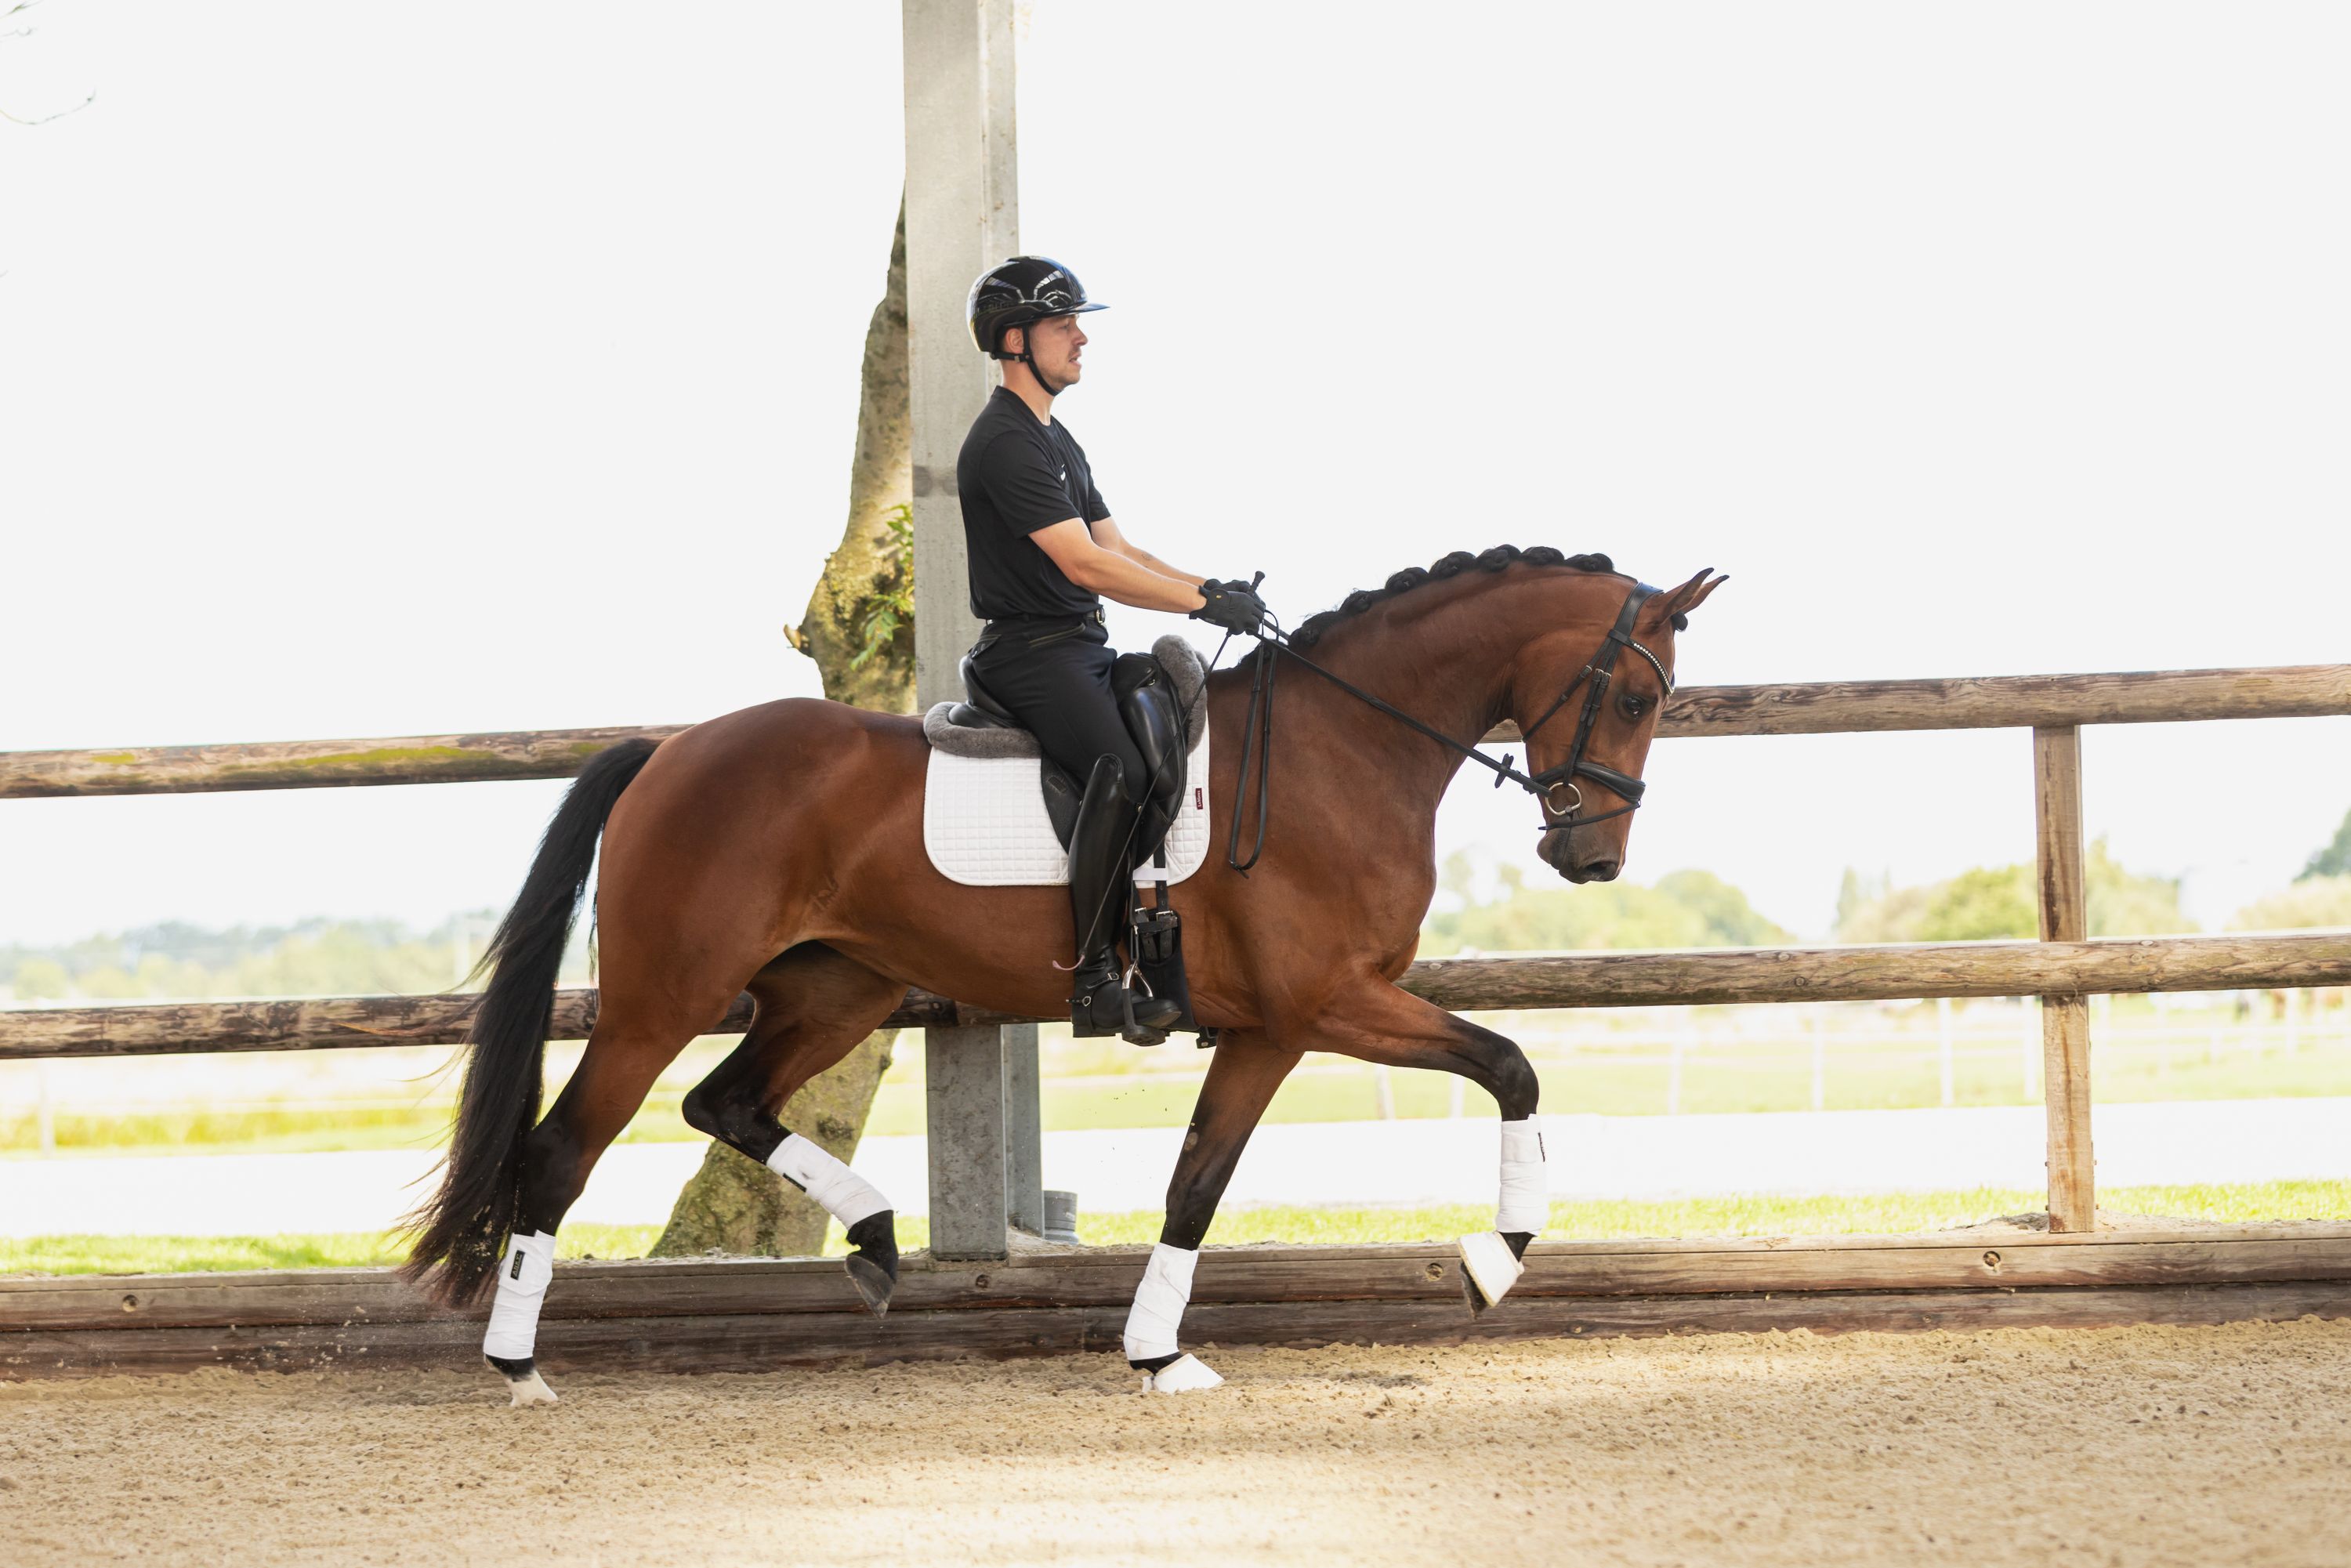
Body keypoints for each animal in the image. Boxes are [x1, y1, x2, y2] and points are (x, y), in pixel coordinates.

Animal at [403, 543, 1726, 1403]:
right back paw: (519, 1366)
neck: (1341, 746)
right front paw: (1491, 1266)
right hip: (662, 1000)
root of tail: (669, 752)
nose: (1592, 856)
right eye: (1634, 692)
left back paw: (875, 1238)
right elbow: (1513, 1064)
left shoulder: (1267, 1030)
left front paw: (1158, 1352)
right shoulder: (1325, 1005)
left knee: (726, 1101)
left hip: (839, 988)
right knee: (562, 1151)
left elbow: (1197, 1184)